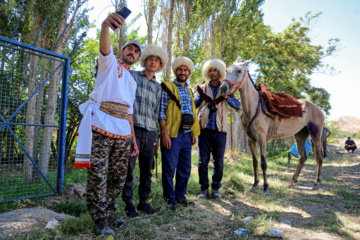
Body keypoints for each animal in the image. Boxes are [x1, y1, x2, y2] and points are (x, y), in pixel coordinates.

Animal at [219, 59, 326, 195]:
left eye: (239, 71)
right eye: (227, 70)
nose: (223, 88)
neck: (255, 108)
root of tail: (319, 109)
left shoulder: (262, 138)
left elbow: (263, 163)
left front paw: (265, 188)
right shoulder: (251, 139)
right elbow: (255, 162)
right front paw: (255, 184)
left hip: (316, 134)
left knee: (319, 157)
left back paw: (316, 183)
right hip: (300, 135)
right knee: (302, 158)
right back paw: (292, 181)